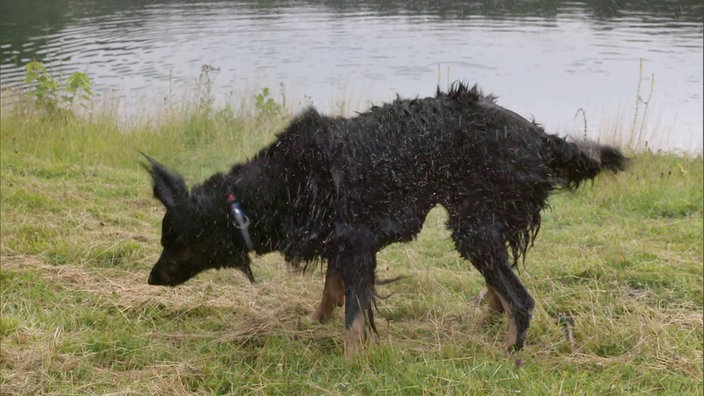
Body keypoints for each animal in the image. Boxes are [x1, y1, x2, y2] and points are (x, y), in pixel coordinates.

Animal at [142, 82, 620, 358]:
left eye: (174, 242)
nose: (151, 278)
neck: (277, 185)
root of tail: (542, 137)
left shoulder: (357, 244)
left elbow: (355, 317)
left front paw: (352, 361)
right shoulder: (343, 240)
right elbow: (331, 288)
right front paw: (317, 318)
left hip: (472, 225)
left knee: (520, 299)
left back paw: (508, 352)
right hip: (479, 222)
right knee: (500, 285)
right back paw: (489, 317)